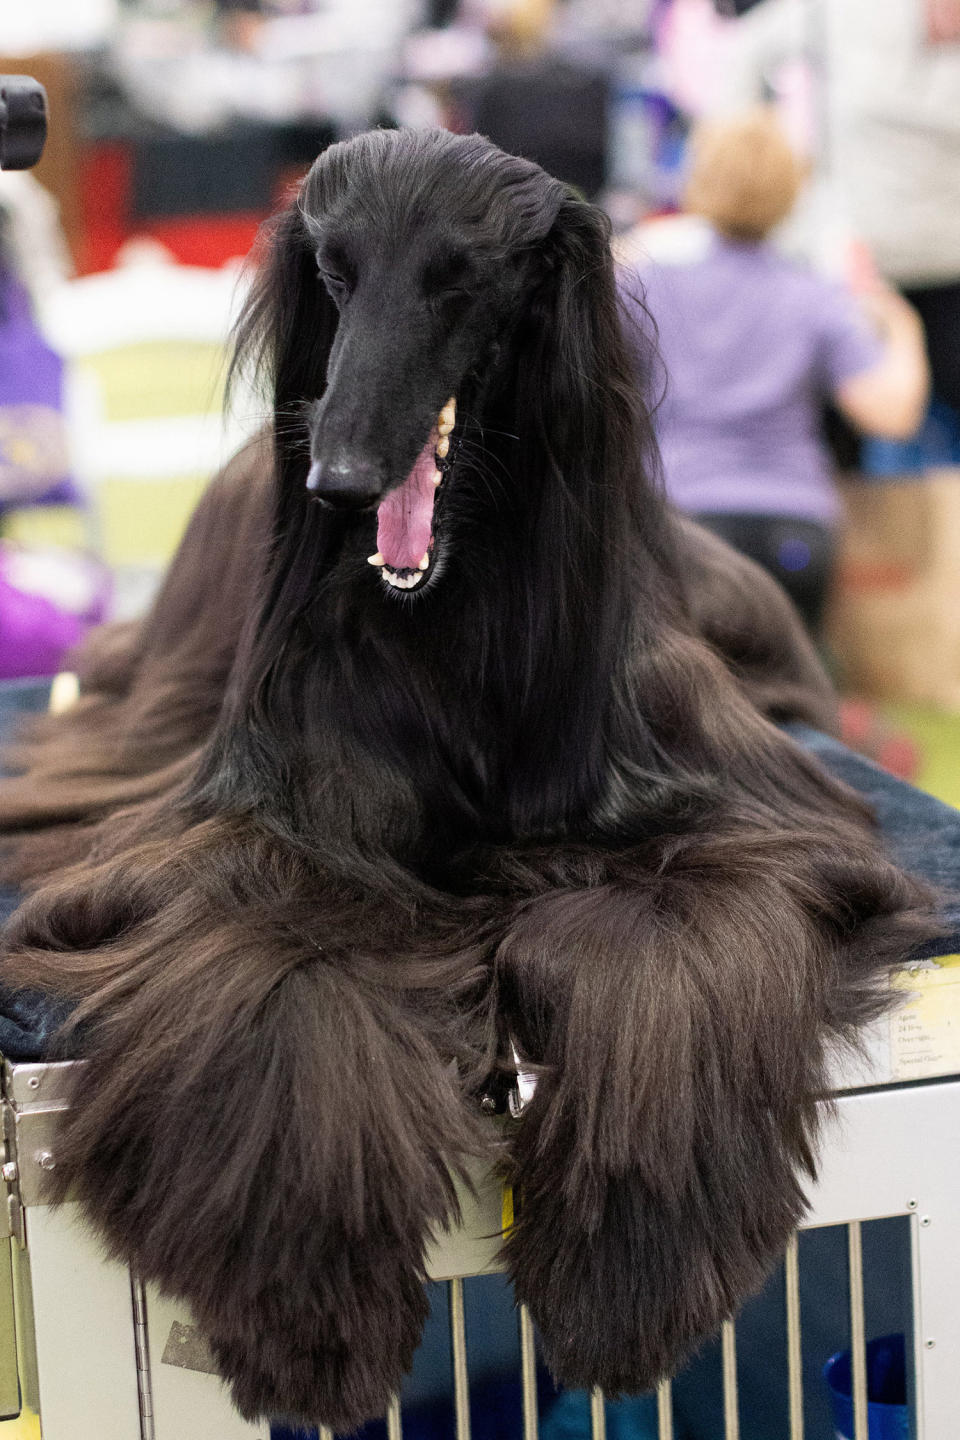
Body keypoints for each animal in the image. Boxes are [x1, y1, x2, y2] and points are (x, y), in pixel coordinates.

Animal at [0, 129, 944, 1434]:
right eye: (334, 272)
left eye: (460, 275)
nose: (340, 481)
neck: (456, 596)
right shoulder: (250, 829)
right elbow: (286, 955)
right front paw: (313, 1307)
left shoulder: (755, 818)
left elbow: (660, 928)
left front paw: (629, 1272)